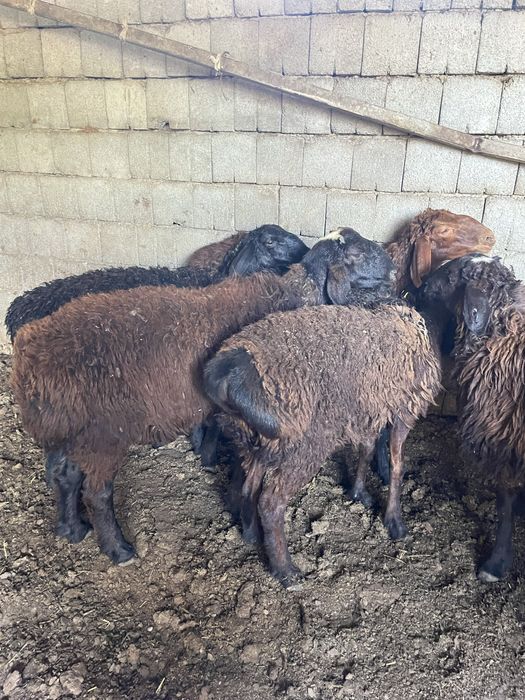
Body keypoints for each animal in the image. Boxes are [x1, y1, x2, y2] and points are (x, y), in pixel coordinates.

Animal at [11, 230, 388, 565]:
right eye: (355, 253)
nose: (388, 261)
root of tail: (29, 354)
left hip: (72, 428)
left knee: (64, 475)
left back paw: (71, 529)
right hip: (104, 433)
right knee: (96, 493)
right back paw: (119, 550)